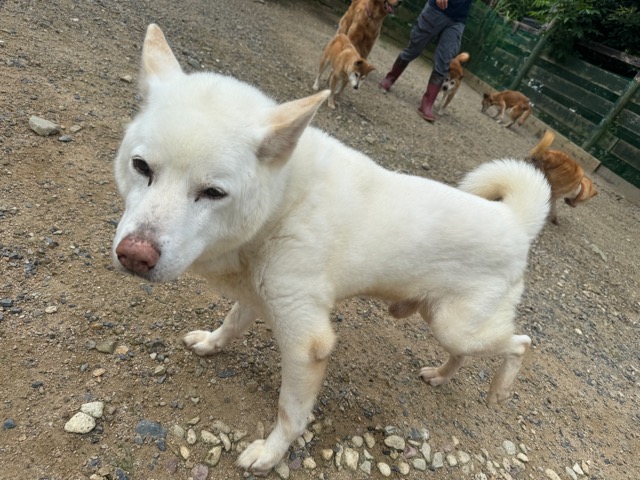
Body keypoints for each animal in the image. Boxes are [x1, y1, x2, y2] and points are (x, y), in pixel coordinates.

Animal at [113, 24, 551, 475]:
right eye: (141, 167)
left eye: (213, 192)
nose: (135, 255)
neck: (283, 204)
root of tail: (515, 219)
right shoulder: (258, 295)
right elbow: (231, 324)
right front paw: (212, 344)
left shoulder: (306, 342)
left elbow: (290, 412)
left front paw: (270, 454)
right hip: (439, 318)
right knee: (465, 355)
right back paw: (441, 375)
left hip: (457, 326)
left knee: (520, 343)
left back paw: (500, 391)